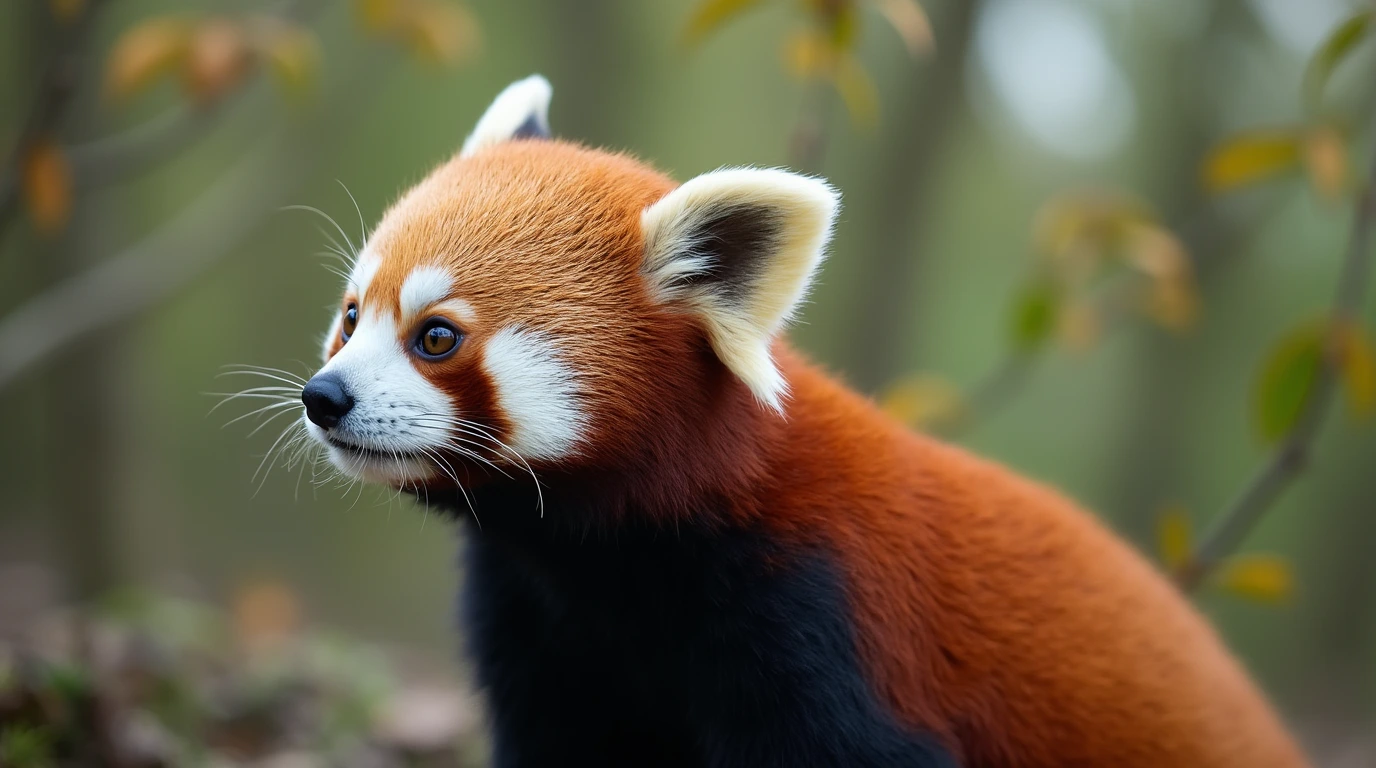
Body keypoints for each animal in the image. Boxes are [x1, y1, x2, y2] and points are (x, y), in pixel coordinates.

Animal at [293, 76, 1309, 768]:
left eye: (435, 336)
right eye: (351, 315)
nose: (324, 396)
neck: (609, 562)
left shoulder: (825, 621)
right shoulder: (540, 623)